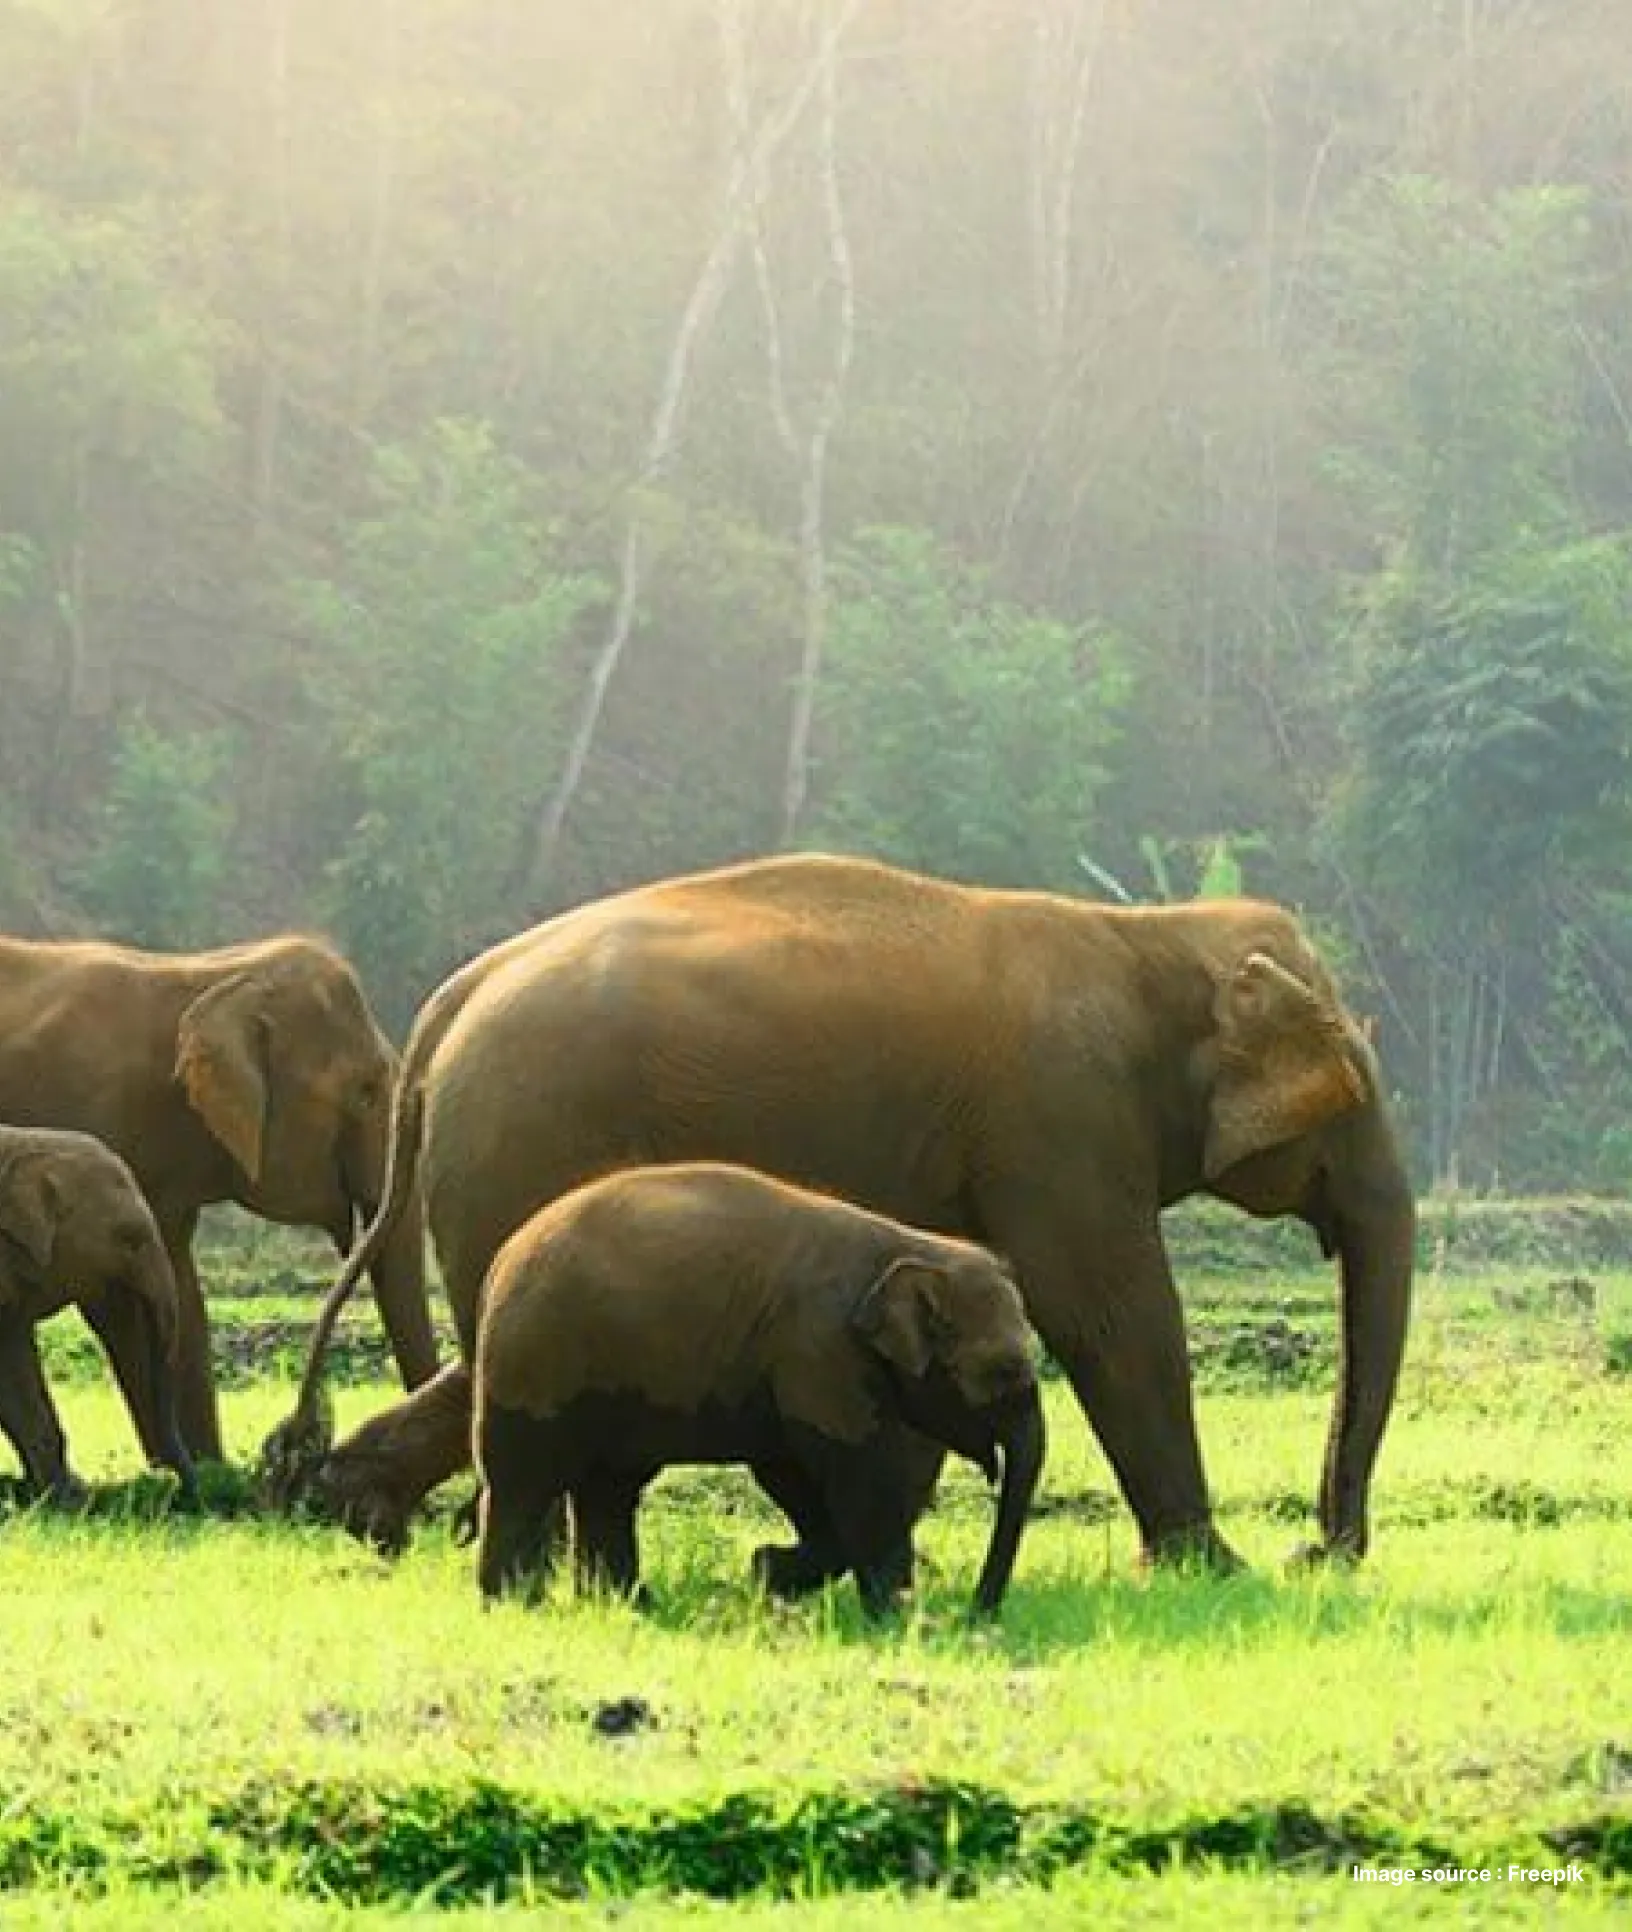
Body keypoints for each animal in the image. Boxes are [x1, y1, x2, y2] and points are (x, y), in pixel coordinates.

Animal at [0, 930, 438, 1461]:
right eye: (367, 1091)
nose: (294, 1438)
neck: (212, 976)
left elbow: (183, 1296)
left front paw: (209, 1469)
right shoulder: (93, 1123)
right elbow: (119, 1305)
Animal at [472, 1161, 1045, 1619]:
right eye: (1005, 1370)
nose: (978, 1612)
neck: (911, 1245)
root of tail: (503, 1257)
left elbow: (789, 1469)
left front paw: (769, 1571)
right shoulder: (818, 1350)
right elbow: (854, 1470)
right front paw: (893, 1614)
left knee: (608, 1488)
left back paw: (629, 1605)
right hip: (537, 1361)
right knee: (523, 1480)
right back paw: (516, 1605)